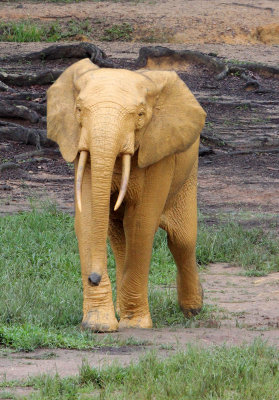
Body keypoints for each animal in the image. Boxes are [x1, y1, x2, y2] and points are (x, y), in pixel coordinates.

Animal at [47, 57, 207, 332]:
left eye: (140, 115)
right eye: (78, 110)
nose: (93, 277)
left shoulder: (159, 153)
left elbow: (141, 223)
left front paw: (136, 325)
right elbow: (88, 217)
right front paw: (98, 325)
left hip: (189, 171)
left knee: (182, 240)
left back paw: (193, 310)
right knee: (119, 238)